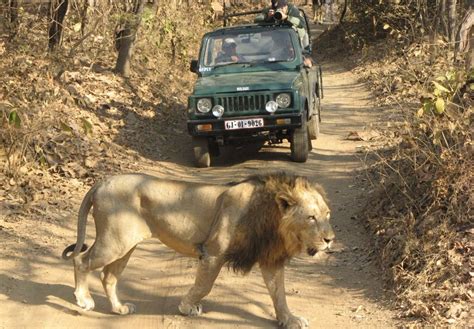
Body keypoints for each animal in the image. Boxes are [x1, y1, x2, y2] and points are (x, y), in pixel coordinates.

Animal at [62, 173, 334, 326]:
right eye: (311, 217)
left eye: (328, 215)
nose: (330, 239)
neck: (273, 220)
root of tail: (101, 183)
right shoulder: (214, 251)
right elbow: (205, 285)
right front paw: (187, 307)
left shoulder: (270, 259)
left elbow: (280, 295)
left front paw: (290, 320)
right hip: (114, 241)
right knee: (81, 260)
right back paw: (84, 300)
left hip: (125, 244)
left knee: (108, 276)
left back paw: (119, 309)